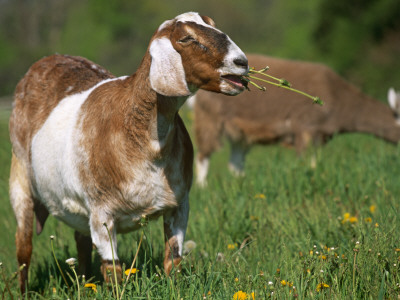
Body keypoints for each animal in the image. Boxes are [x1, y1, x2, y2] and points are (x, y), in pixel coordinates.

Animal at [8, 12, 247, 292]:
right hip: (20, 180)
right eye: (187, 38)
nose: (242, 62)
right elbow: (113, 270)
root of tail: (47, 59)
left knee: (81, 242)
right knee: (24, 249)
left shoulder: (179, 204)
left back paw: (84, 282)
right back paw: (24, 292)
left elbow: (173, 259)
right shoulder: (101, 213)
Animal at [193, 53, 400, 185]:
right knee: (203, 154)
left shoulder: (319, 134)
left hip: (239, 132)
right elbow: (303, 161)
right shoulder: (304, 126)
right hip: (209, 116)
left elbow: (314, 162)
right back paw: (203, 188)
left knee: (235, 162)